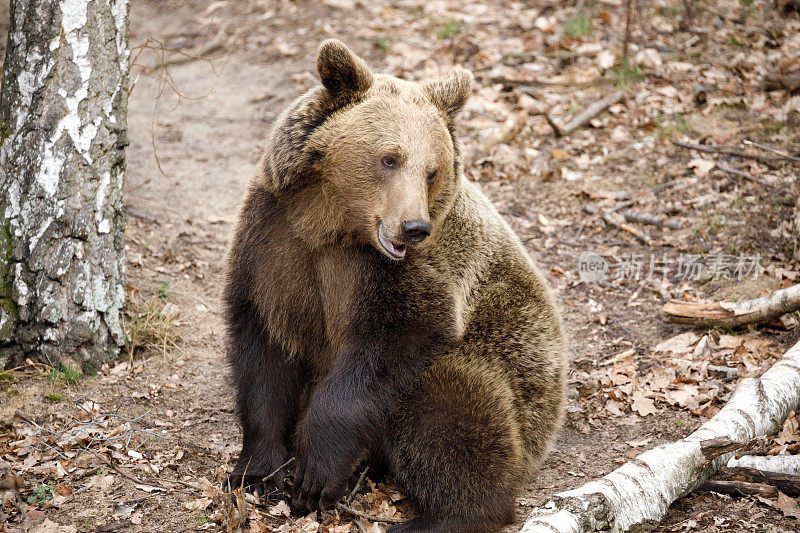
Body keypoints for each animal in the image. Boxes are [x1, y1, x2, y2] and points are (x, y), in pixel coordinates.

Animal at [222, 38, 564, 532]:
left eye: (432, 170)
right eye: (390, 158)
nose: (414, 227)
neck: (330, 223)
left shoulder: (398, 275)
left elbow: (396, 340)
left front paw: (315, 472)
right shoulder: (274, 242)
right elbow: (263, 348)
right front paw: (259, 471)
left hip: (516, 373)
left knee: (448, 404)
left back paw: (439, 516)